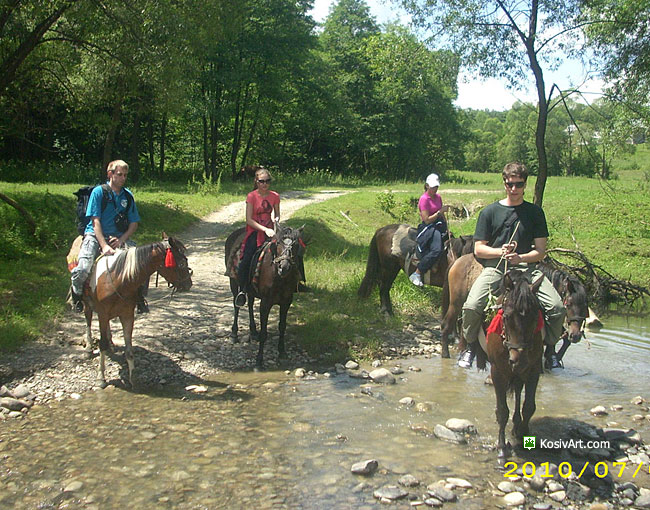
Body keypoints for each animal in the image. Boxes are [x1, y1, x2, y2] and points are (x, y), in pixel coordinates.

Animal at [82, 237, 192, 388]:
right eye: (181, 262)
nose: (189, 284)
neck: (119, 280)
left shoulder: (127, 314)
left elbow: (129, 348)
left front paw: (133, 377)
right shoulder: (103, 314)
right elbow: (102, 343)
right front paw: (101, 377)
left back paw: (111, 344)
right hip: (87, 304)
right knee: (88, 320)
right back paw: (88, 348)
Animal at [224, 221, 302, 368]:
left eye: (295, 245)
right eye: (278, 243)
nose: (284, 267)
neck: (278, 277)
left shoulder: (286, 301)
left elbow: (282, 327)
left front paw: (282, 352)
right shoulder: (266, 303)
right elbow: (264, 332)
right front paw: (259, 361)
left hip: (250, 289)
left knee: (249, 304)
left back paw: (253, 331)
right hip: (233, 282)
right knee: (236, 305)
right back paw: (234, 334)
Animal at [486, 270, 540, 462]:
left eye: (535, 317)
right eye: (507, 316)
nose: (520, 359)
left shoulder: (533, 370)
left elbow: (529, 406)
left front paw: (523, 434)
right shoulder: (498, 372)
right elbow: (502, 411)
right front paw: (502, 448)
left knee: (518, 392)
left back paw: (517, 426)